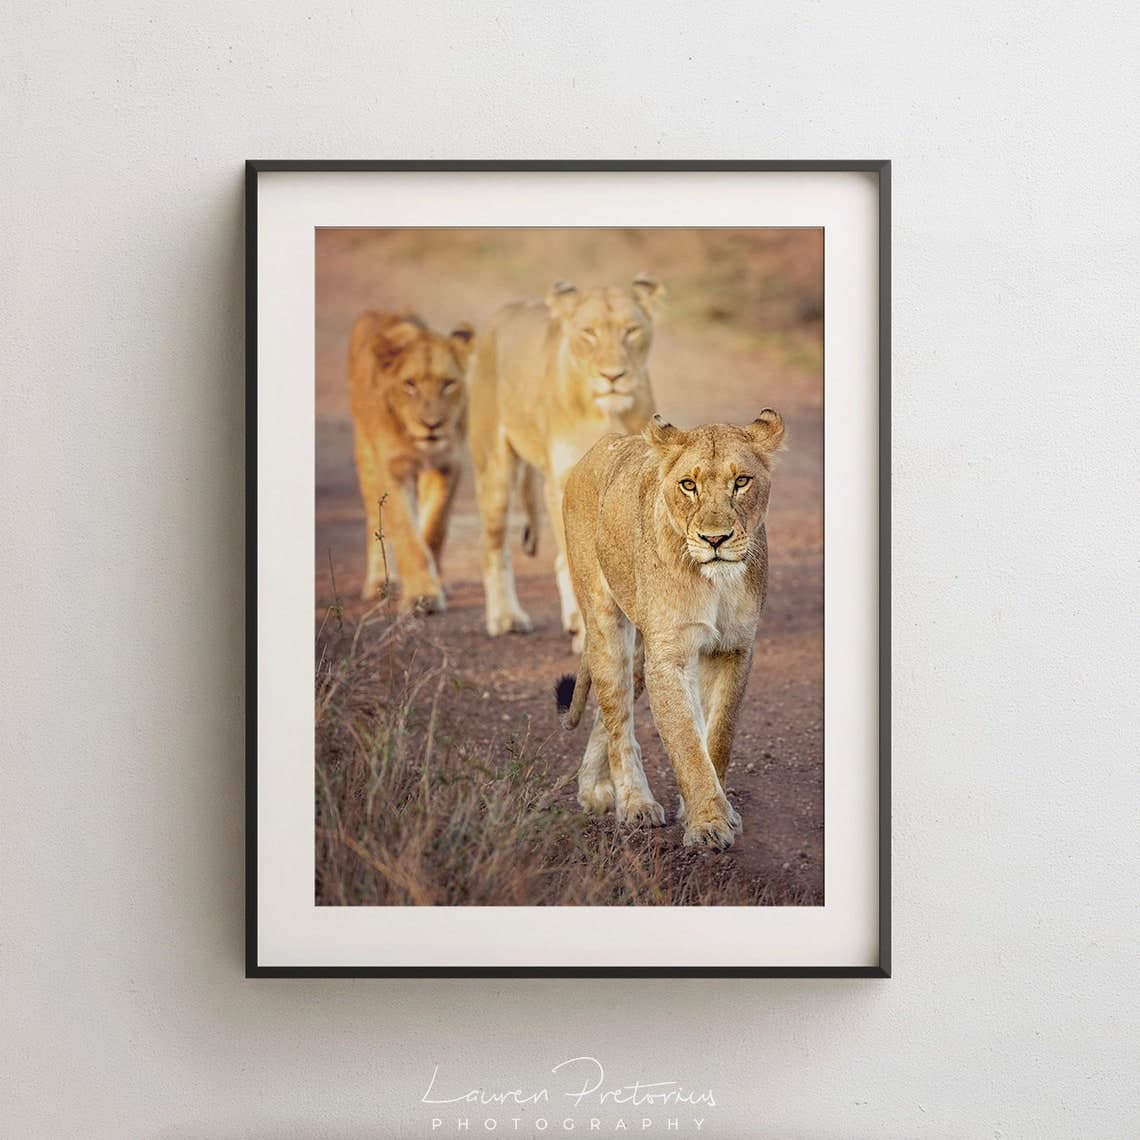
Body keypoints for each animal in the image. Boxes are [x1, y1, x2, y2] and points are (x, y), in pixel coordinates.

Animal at [347, 311, 474, 611]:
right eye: (410, 384)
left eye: (448, 384)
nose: (432, 425)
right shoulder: (393, 470)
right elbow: (406, 533)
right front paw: (422, 595)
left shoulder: (448, 463)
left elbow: (434, 528)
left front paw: (435, 582)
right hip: (366, 456)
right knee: (375, 518)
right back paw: (379, 581)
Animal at [467, 276, 664, 650]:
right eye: (589, 333)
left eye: (631, 330)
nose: (613, 376)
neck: (606, 412)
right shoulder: (560, 482)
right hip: (496, 468)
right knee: (492, 545)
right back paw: (506, 617)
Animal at [556, 410, 786, 849]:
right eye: (688, 485)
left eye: (741, 481)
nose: (715, 539)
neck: (717, 583)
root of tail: (596, 448)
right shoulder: (670, 655)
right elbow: (685, 742)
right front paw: (709, 824)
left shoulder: (735, 649)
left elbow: (717, 736)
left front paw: (711, 811)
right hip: (606, 624)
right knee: (618, 718)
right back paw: (635, 803)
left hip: (641, 653)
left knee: (608, 715)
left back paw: (592, 789)